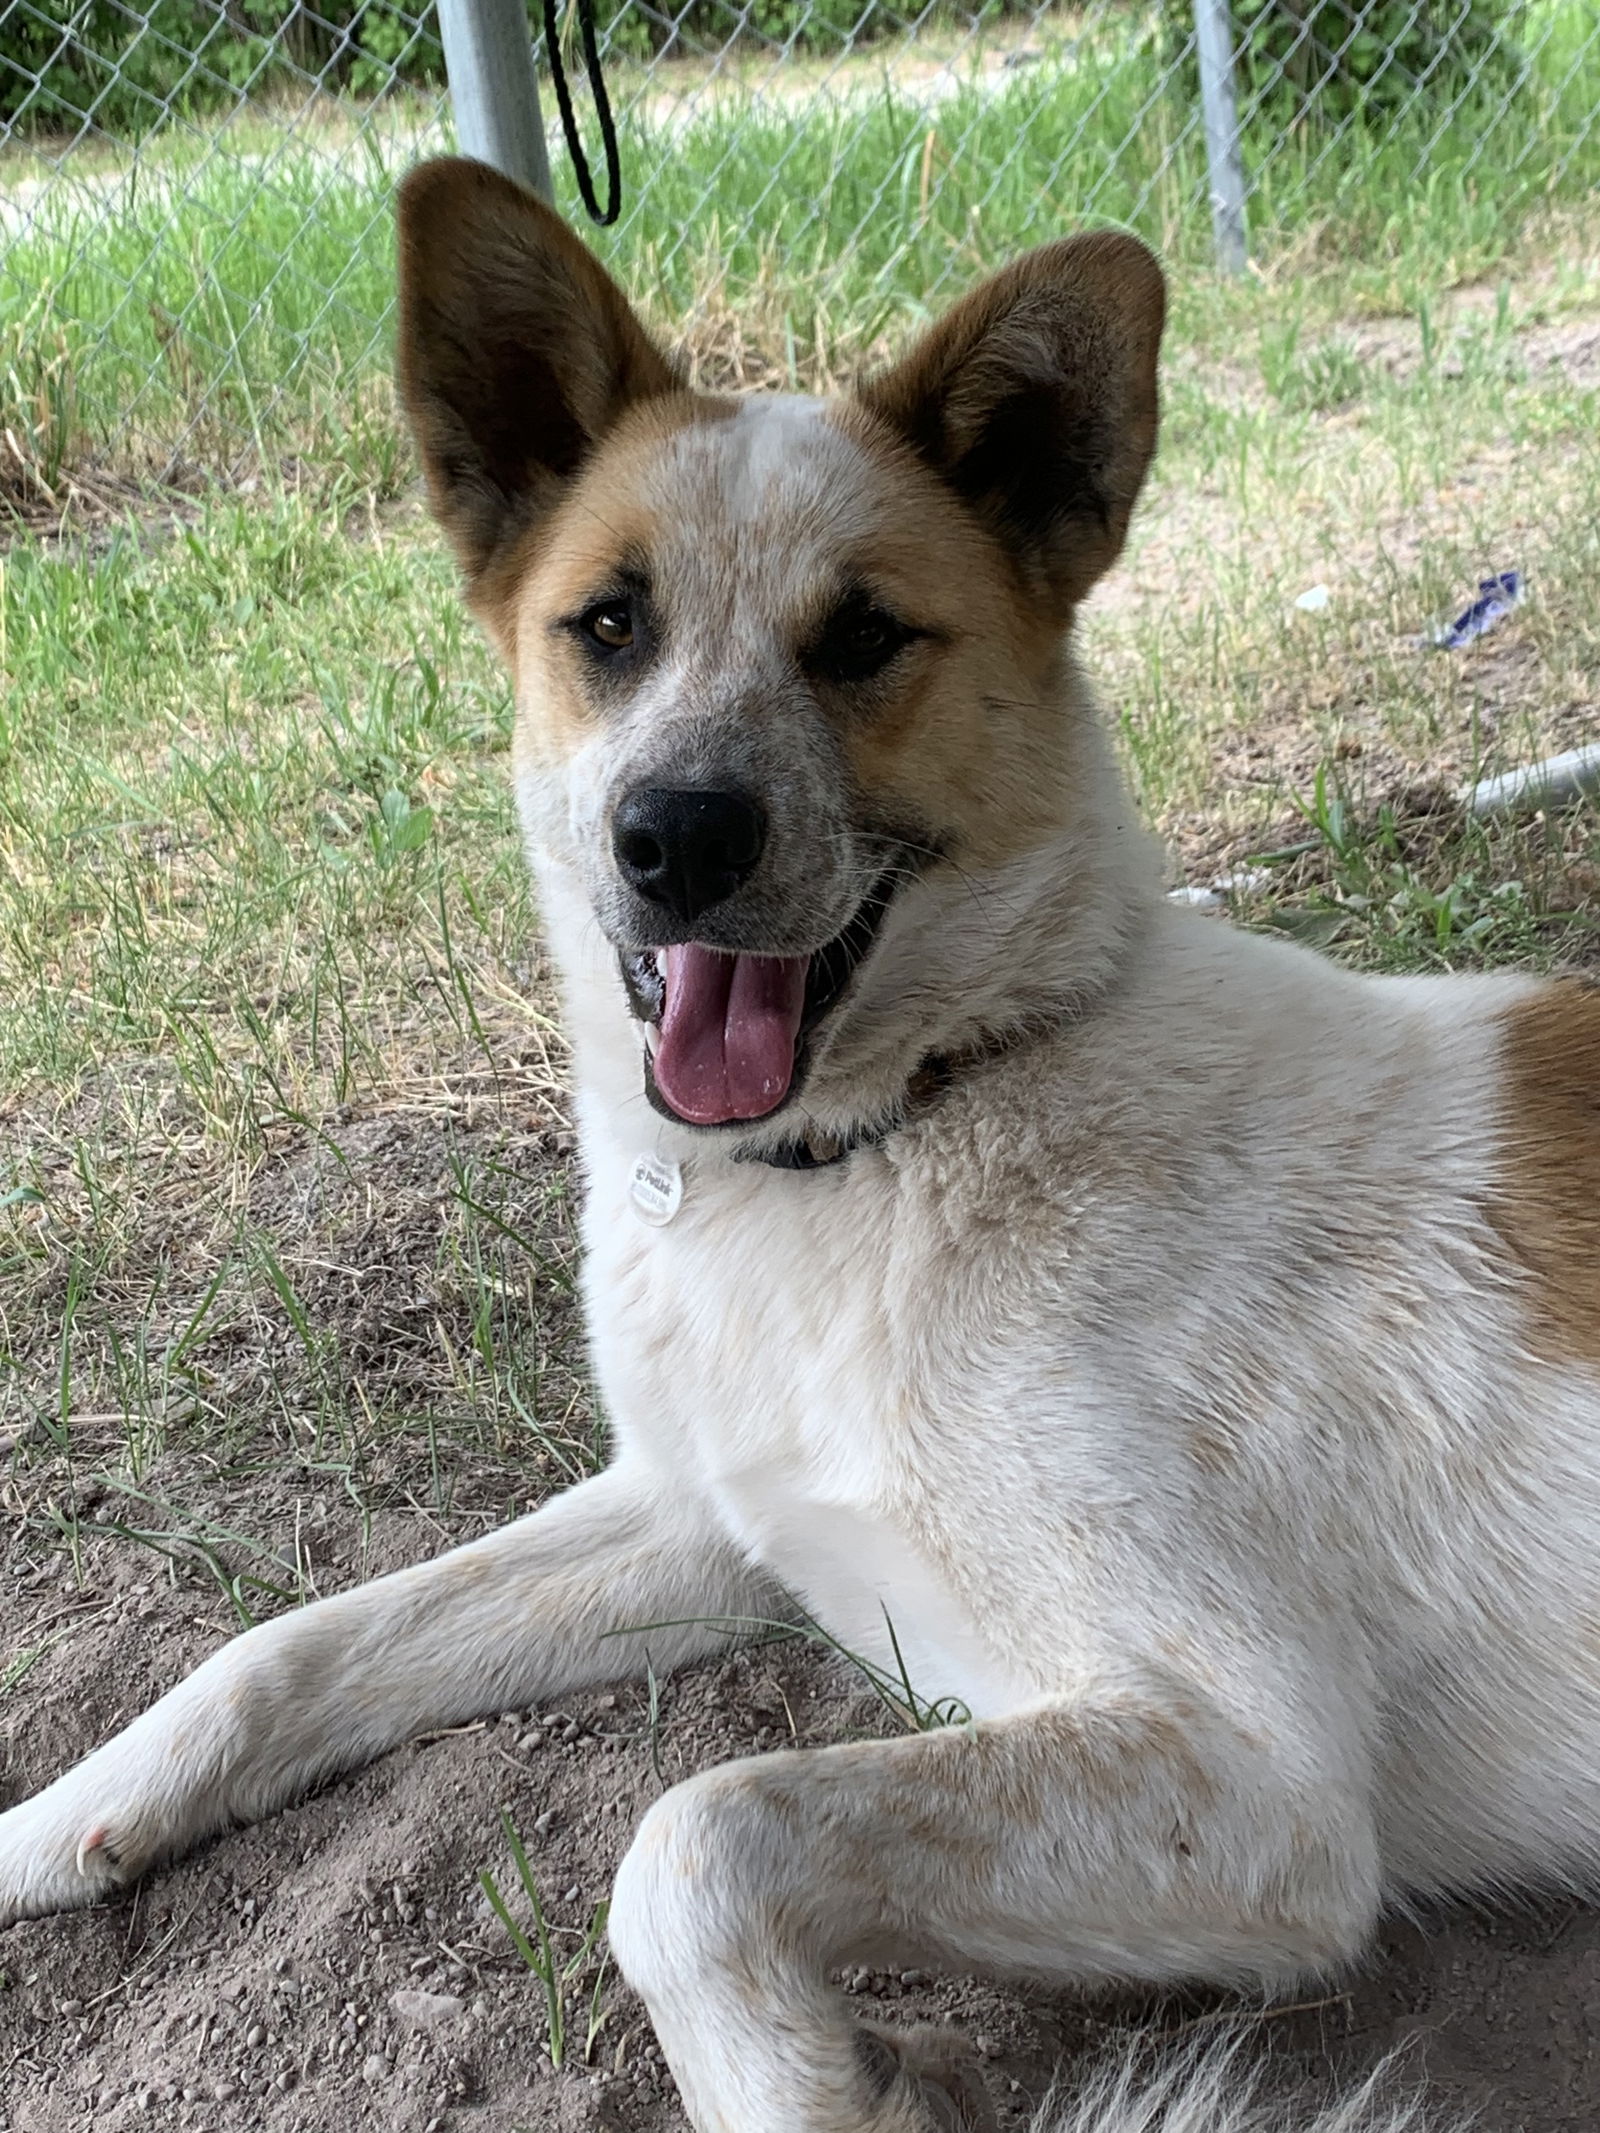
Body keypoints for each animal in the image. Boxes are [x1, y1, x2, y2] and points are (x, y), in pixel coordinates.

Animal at [3, 157, 1600, 2124]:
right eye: (609, 624)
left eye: (862, 637)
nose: (676, 836)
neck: (898, 1135)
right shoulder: (704, 1510)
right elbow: (289, 1640)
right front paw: (66, 1814)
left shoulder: (1261, 1781)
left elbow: (692, 1839)